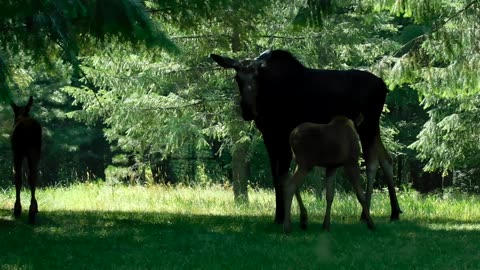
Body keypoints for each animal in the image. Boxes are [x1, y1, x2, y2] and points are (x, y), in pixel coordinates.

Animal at [212, 50, 404, 224]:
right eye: (237, 78)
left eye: (257, 77)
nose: (247, 110)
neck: (264, 100)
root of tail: (384, 86)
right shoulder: (269, 135)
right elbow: (276, 176)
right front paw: (279, 216)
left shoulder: (283, 133)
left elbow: (283, 176)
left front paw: (285, 216)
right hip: (372, 126)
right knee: (386, 159)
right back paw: (394, 211)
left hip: (367, 125)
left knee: (372, 162)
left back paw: (366, 214)